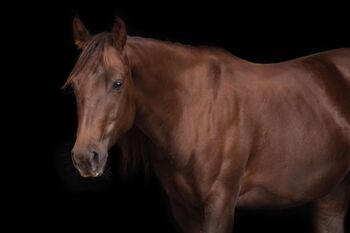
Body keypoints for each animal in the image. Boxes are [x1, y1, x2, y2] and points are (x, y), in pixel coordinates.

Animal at [64, 16, 348, 233]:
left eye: (118, 83)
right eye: (75, 86)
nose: (85, 158)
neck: (193, 110)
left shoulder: (219, 205)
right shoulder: (185, 210)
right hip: (331, 195)